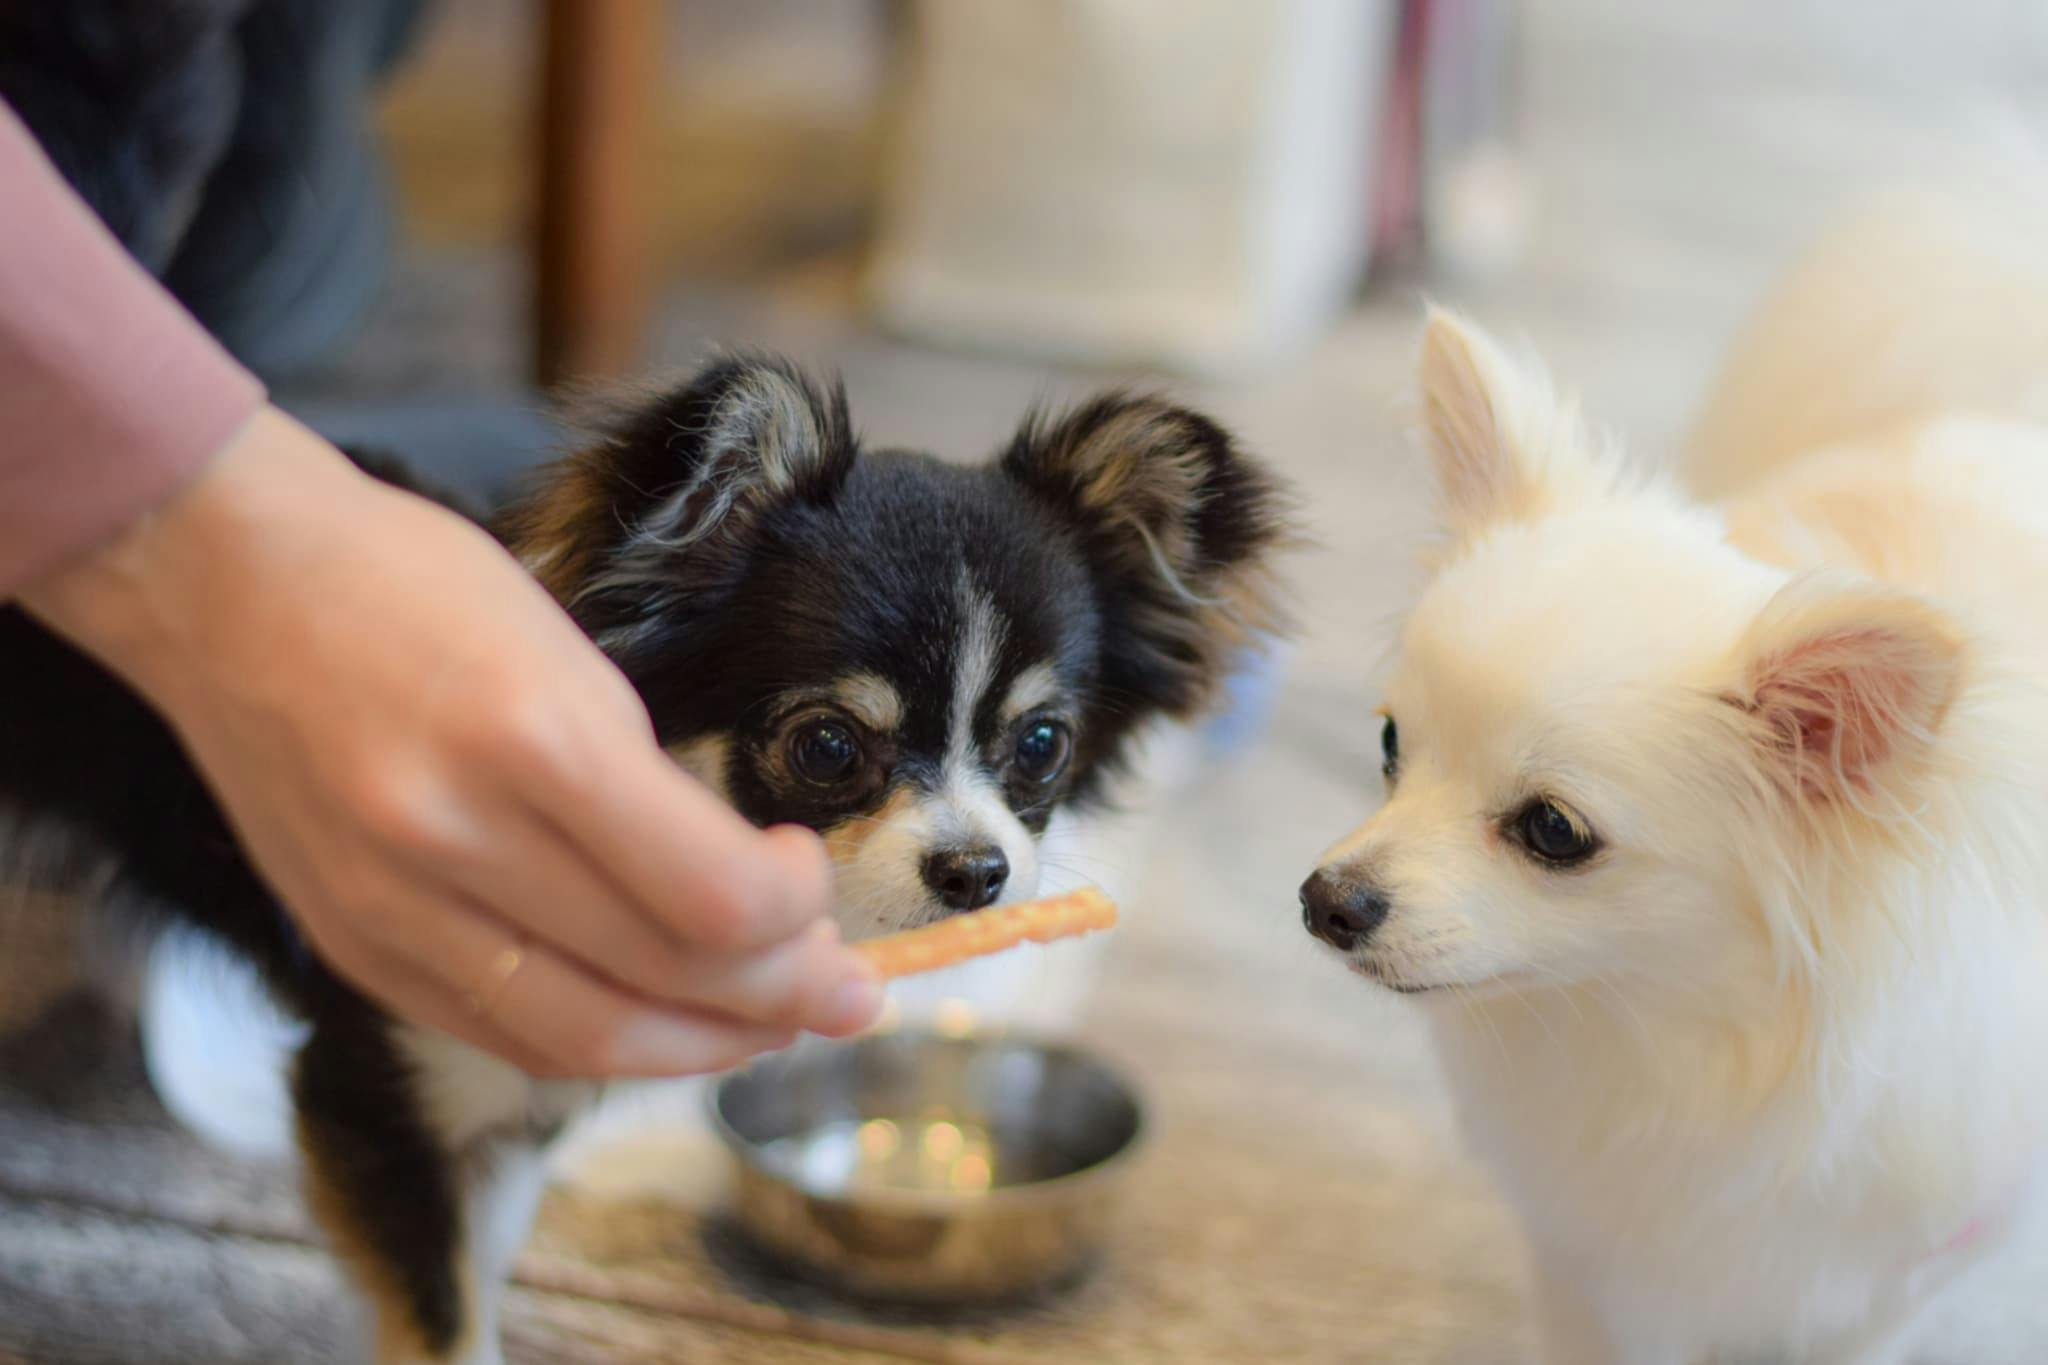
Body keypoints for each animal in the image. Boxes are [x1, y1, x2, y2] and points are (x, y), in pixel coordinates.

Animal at [1302, 192, 2048, 1365]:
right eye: (1387, 747)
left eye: (1553, 831)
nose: (1324, 898)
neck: (1656, 1038)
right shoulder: (1583, 1263)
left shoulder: (1884, 1290)